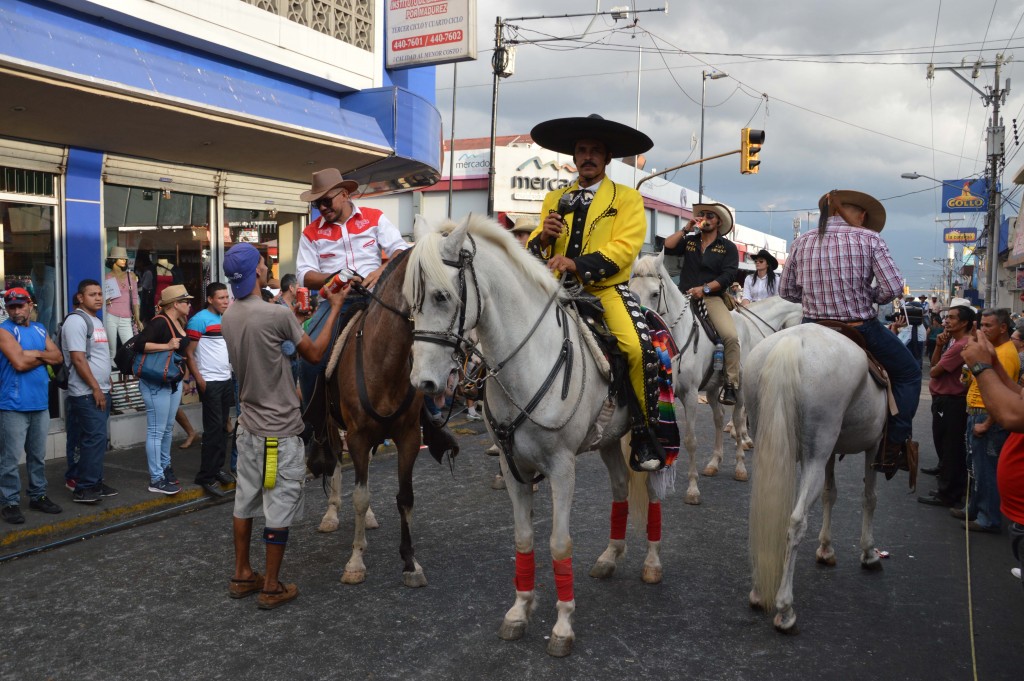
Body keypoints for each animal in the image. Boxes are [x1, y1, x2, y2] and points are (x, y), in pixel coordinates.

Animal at [303, 246, 456, 585]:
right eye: (437, 292)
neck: (386, 360)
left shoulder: (409, 436)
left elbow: (405, 496)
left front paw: (411, 563)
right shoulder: (357, 435)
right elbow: (359, 496)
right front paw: (355, 562)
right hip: (334, 426)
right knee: (336, 463)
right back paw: (331, 513)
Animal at [405, 215, 663, 655]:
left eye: (441, 296)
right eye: (411, 300)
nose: (423, 382)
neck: (527, 362)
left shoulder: (561, 468)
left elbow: (560, 544)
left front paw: (562, 625)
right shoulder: (514, 470)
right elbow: (524, 539)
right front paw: (518, 612)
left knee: (656, 491)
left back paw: (651, 563)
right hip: (611, 439)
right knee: (620, 488)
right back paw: (610, 557)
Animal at [626, 251, 802, 501]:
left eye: (654, 293)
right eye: (630, 290)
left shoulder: (690, 395)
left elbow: (690, 441)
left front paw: (692, 489)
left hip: (738, 388)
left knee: (737, 420)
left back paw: (740, 466)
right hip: (711, 389)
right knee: (719, 419)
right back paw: (714, 463)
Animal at [745, 323, 888, 630]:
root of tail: (791, 340)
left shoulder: (831, 453)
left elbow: (829, 494)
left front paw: (826, 548)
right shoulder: (875, 445)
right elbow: (869, 498)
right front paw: (869, 553)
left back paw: (759, 592)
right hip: (815, 455)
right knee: (796, 521)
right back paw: (785, 607)